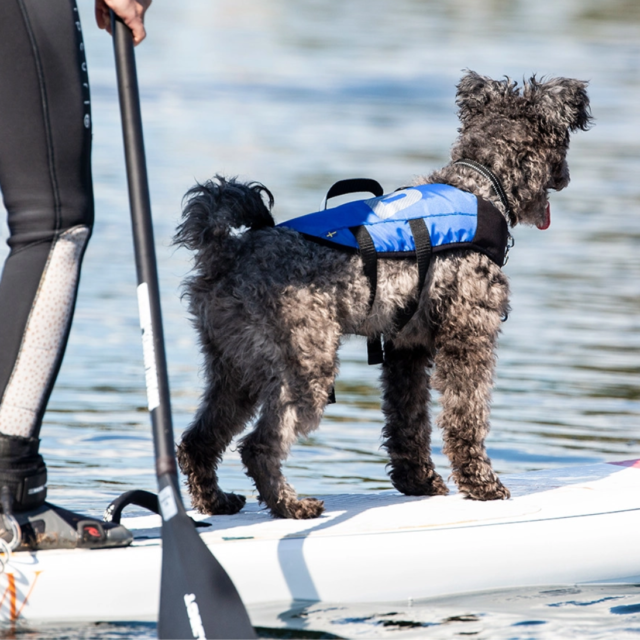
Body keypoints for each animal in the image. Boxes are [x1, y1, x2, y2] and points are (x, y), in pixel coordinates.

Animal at [174, 71, 592, 520]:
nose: (567, 176)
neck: (480, 184)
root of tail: (227, 253)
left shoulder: (406, 348)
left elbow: (407, 420)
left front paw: (418, 481)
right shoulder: (468, 338)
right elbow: (466, 415)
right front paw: (481, 483)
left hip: (234, 370)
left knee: (198, 440)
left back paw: (216, 500)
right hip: (305, 368)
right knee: (258, 446)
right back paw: (291, 506)